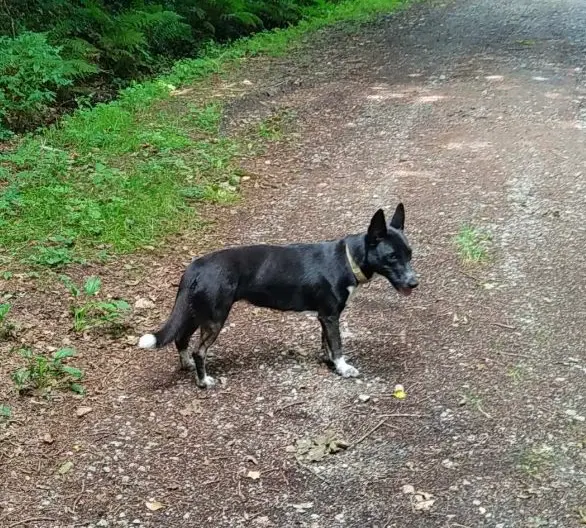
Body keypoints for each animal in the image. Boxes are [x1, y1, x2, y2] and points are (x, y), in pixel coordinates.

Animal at [138, 204, 416, 386]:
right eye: (392, 257)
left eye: (410, 254)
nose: (415, 283)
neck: (347, 260)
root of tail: (194, 267)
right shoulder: (330, 315)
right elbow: (337, 345)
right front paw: (343, 368)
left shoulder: (324, 316)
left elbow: (326, 343)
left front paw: (329, 363)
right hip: (215, 317)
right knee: (199, 350)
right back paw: (204, 381)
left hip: (196, 311)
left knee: (181, 339)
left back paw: (187, 366)